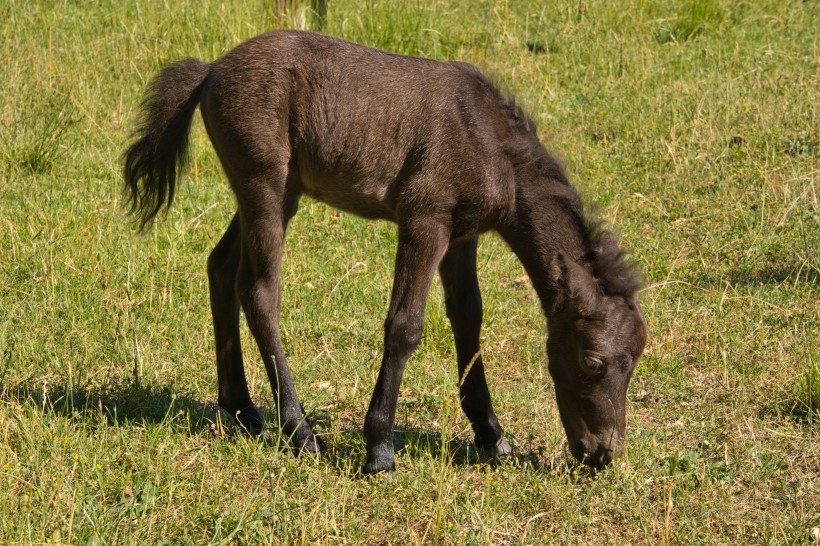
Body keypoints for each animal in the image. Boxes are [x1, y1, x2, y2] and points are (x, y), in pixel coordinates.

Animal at [123, 30, 648, 472]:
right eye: (592, 361)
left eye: (634, 362)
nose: (603, 452)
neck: (489, 143)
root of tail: (211, 69)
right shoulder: (425, 221)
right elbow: (405, 326)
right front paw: (379, 448)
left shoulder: (463, 235)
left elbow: (468, 317)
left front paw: (490, 434)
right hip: (264, 186)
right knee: (258, 293)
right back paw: (300, 431)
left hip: (277, 193)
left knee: (220, 268)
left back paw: (242, 409)